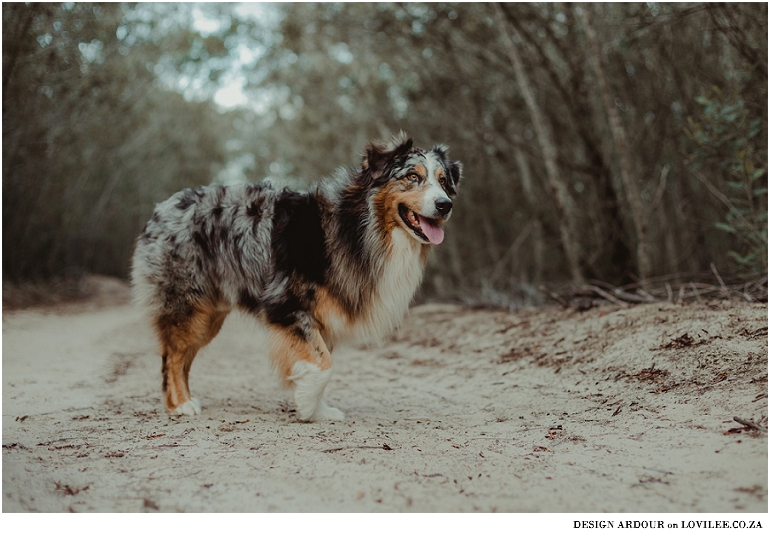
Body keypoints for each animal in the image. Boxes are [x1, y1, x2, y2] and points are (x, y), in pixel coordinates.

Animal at [130, 132, 462, 420]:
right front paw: (305, 403)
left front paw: (319, 410)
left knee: (183, 357)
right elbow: (324, 363)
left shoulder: (323, 316)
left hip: (208, 316)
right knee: (172, 357)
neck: (360, 226)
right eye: (412, 177)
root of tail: (162, 208)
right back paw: (180, 405)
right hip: (187, 307)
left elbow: (323, 358)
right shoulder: (287, 306)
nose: (445, 205)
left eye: (444, 181)